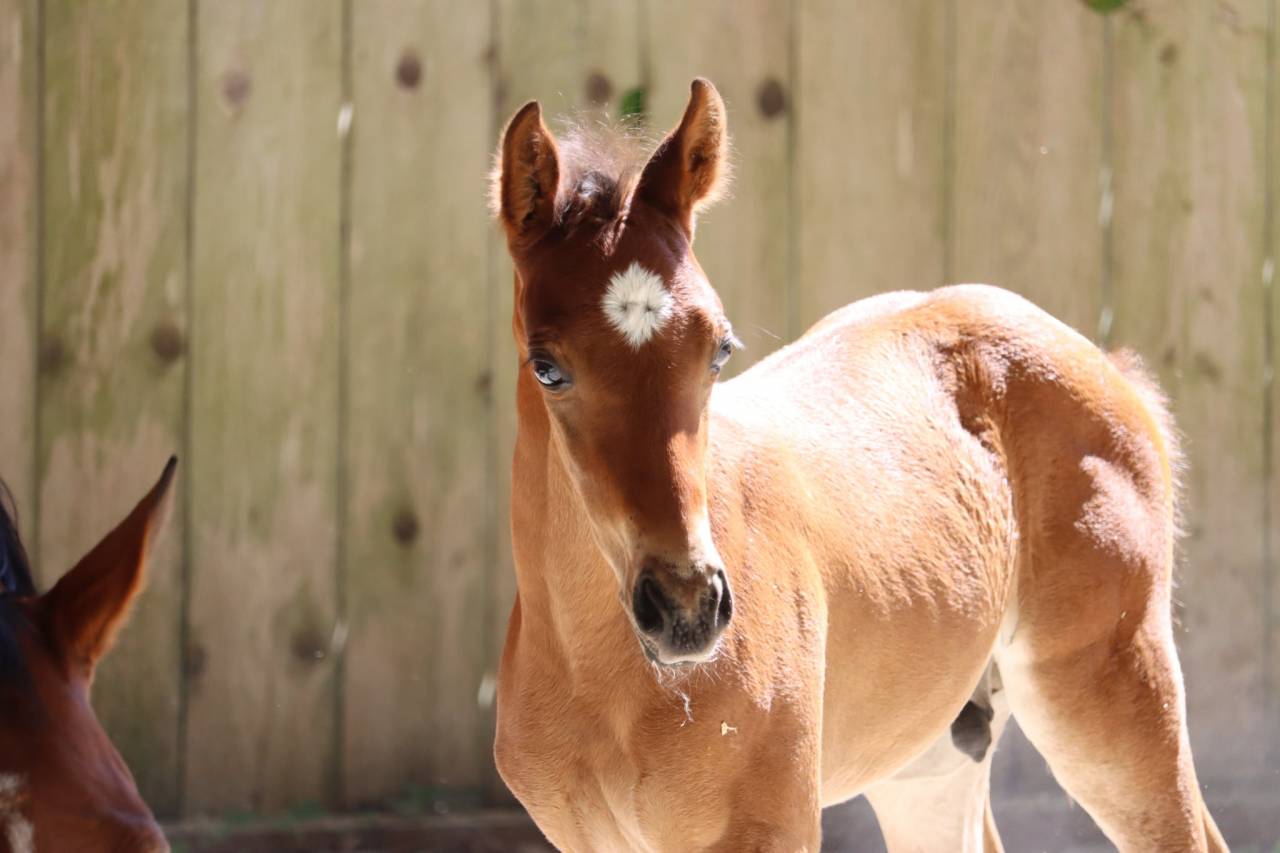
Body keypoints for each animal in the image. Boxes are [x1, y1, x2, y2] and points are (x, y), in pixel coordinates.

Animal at [489, 78, 1228, 852]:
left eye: (719, 348)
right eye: (548, 367)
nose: (688, 607)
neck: (605, 677)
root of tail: (1106, 364)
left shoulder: (775, 827)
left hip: (1108, 694)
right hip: (933, 759)